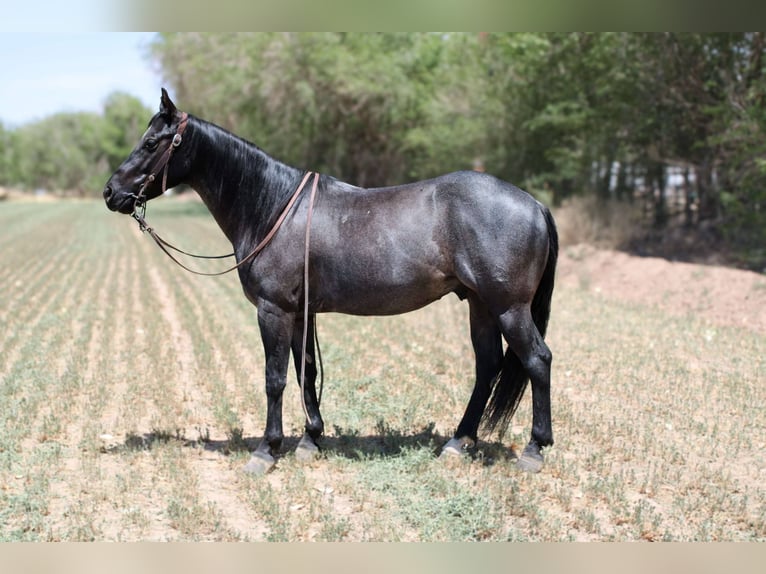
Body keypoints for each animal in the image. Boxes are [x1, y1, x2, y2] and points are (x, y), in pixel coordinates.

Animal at [103, 89, 558, 475]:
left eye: (151, 143)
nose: (111, 193)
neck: (274, 207)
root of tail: (533, 203)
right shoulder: (302, 313)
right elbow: (306, 373)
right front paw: (310, 440)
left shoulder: (274, 310)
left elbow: (274, 378)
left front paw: (267, 450)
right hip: (480, 305)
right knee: (487, 367)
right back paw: (457, 443)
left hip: (509, 308)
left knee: (537, 361)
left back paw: (534, 450)